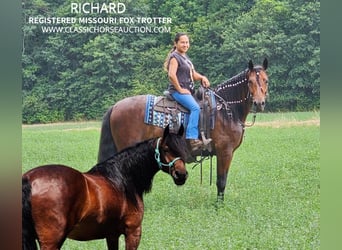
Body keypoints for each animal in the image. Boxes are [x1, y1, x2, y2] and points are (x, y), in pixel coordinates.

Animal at [22, 125, 188, 250]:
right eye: (166, 148)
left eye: (183, 148)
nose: (181, 175)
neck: (123, 179)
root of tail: (29, 179)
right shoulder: (133, 232)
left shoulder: (111, 235)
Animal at [97, 59, 268, 201]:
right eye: (250, 81)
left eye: (266, 80)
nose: (259, 103)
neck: (226, 111)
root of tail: (115, 106)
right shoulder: (225, 151)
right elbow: (221, 181)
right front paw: (219, 206)